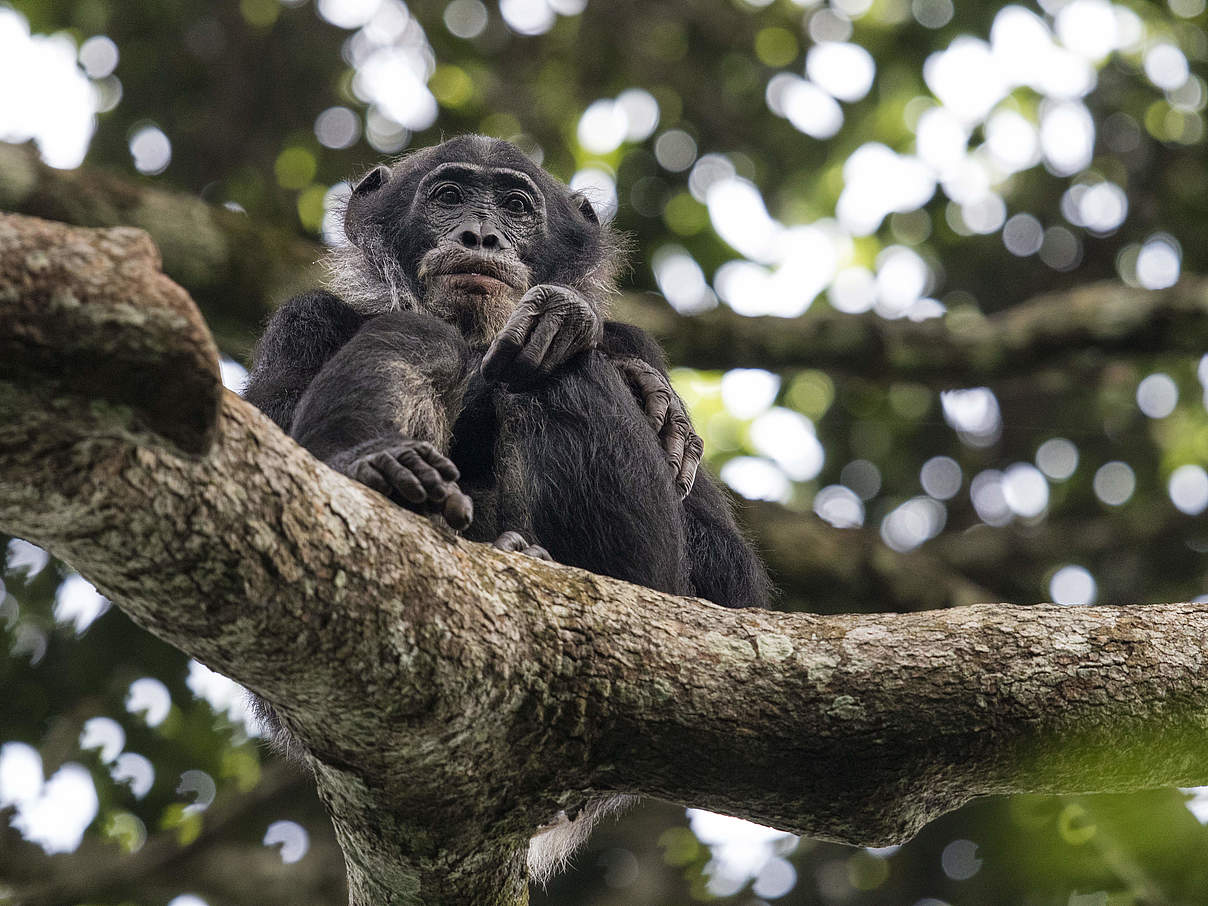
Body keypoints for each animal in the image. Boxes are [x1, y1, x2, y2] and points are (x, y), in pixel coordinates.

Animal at [240, 134, 768, 879]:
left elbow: (731, 590)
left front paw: (597, 344)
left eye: (517, 207)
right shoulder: (301, 320)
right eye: (448, 196)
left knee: (555, 367)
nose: (481, 234)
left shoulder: (638, 339)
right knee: (419, 342)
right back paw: (385, 467)